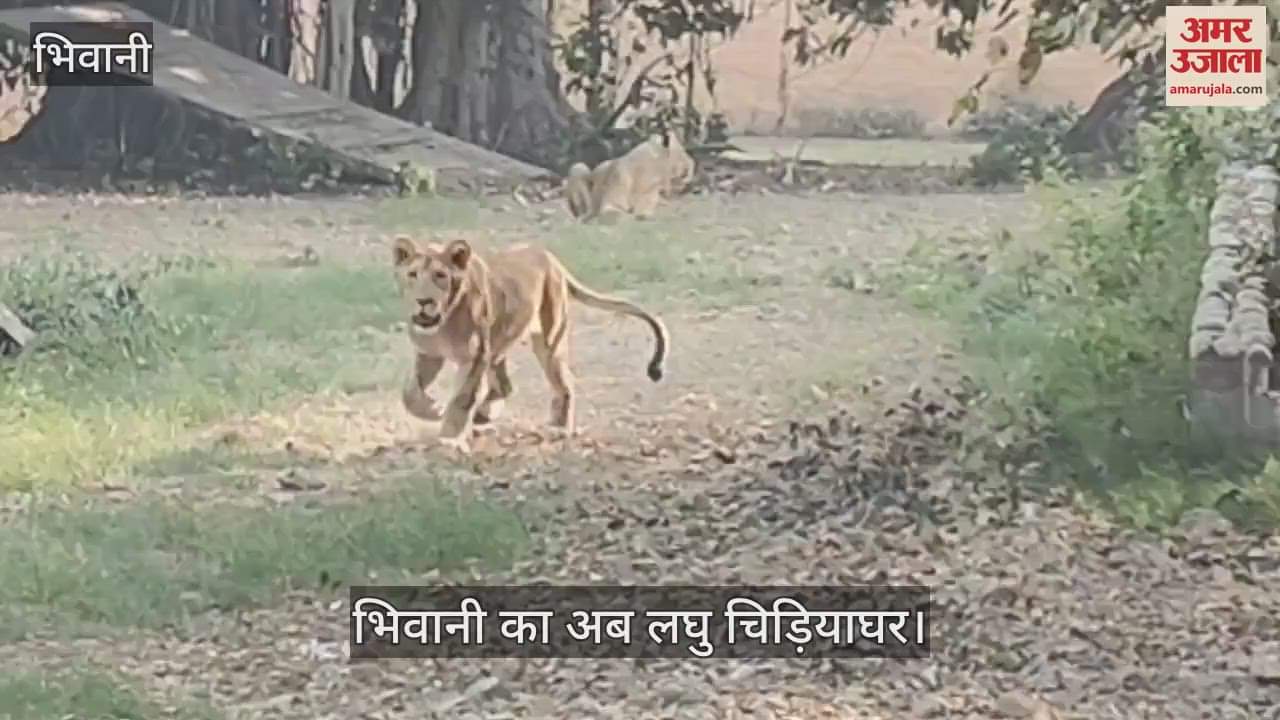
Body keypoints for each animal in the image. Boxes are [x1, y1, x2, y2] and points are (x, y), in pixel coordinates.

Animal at [393, 234, 669, 450]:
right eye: (412, 274)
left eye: (440, 275)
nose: (424, 301)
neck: (443, 322)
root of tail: (551, 259)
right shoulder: (429, 354)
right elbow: (410, 392)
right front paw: (433, 409)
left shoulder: (476, 356)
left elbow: (461, 398)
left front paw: (449, 439)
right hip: (501, 343)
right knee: (505, 385)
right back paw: (484, 414)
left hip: (548, 340)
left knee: (564, 384)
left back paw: (558, 429)